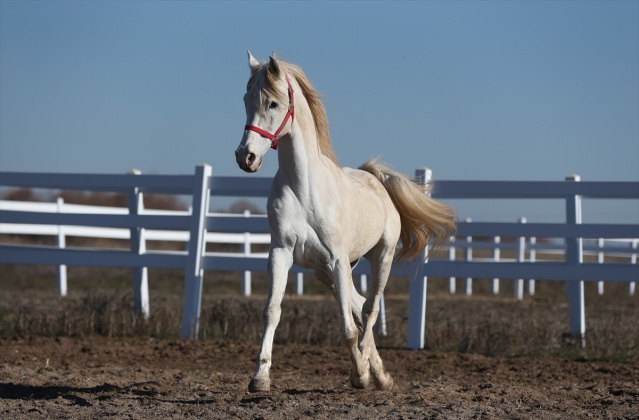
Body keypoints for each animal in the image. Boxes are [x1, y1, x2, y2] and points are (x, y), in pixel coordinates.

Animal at [235, 53, 456, 394]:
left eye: (272, 103)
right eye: (246, 99)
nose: (245, 157)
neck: (305, 189)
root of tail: (374, 178)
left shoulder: (337, 259)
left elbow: (348, 328)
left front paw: (359, 376)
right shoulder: (281, 253)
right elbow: (272, 311)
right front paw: (260, 378)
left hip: (380, 258)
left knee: (369, 308)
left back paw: (371, 370)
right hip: (325, 272)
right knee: (359, 304)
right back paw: (380, 373)